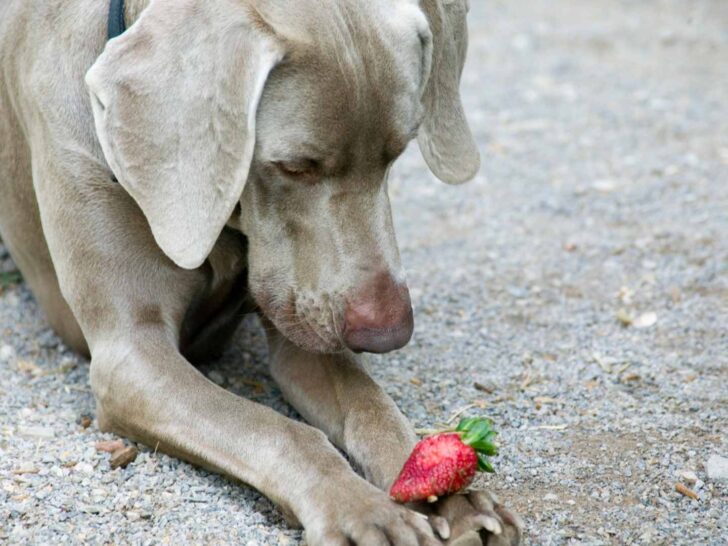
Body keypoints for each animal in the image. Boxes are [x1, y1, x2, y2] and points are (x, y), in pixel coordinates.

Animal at [0, 0, 524, 540]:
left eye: (396, 153)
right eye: (295, 165)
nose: (387, 335)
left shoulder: (305, 323)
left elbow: (371, 406)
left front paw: (454, 498)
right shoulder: (131, 356)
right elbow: (280, 431)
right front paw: (363, 509)